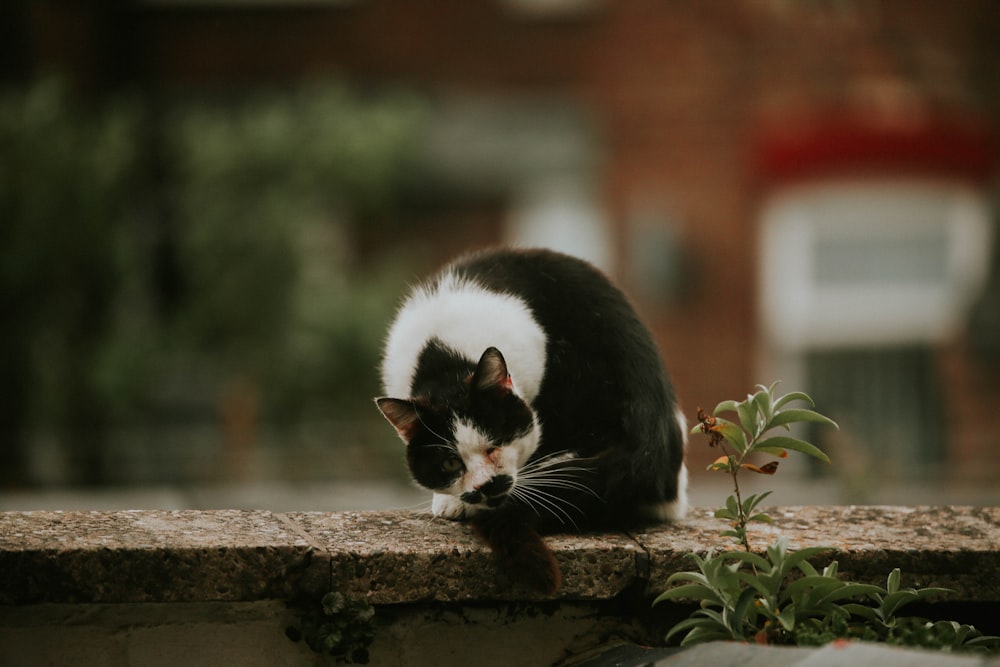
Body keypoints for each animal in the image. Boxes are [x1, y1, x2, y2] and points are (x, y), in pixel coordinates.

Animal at [376, 248, 688, 592]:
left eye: (496, 443)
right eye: (449, 463)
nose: (487, 485)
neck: (443, 360)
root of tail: (653, 450)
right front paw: (450, 498)